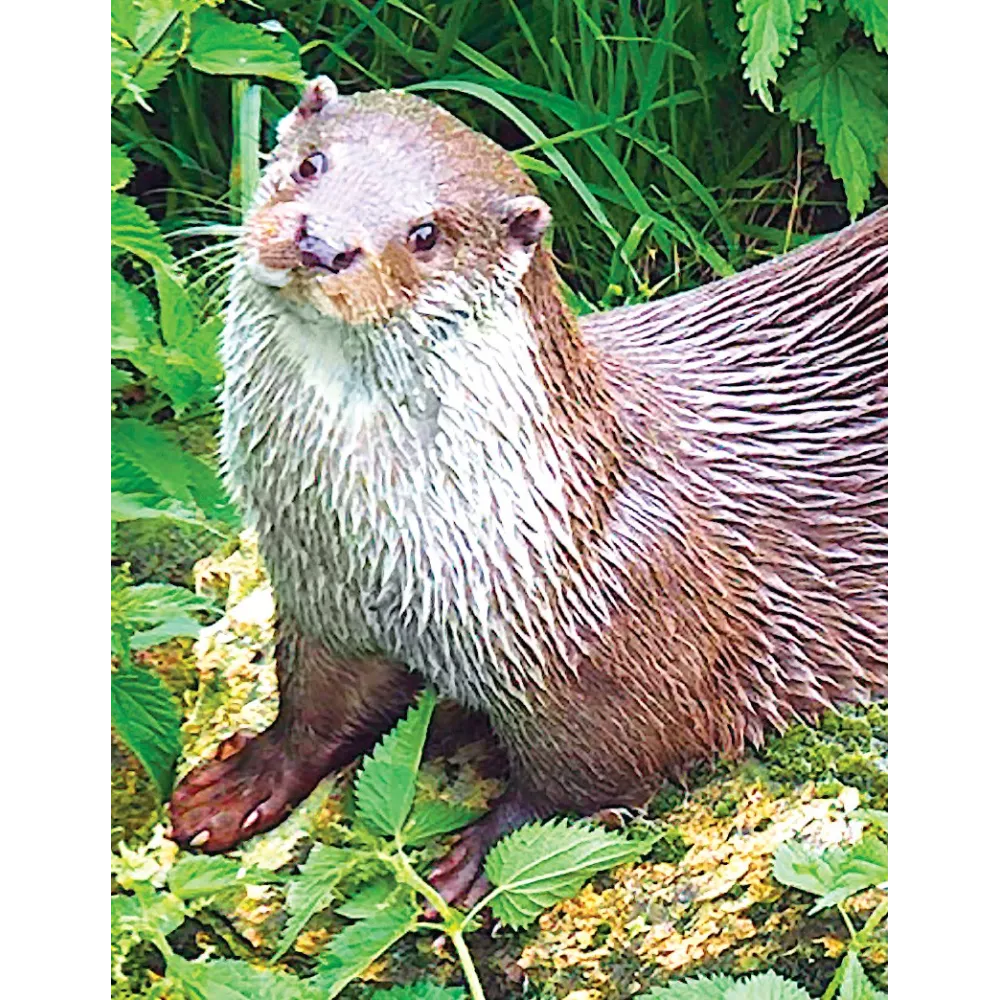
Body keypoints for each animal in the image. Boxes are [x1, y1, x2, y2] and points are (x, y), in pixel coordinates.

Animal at [170, 77, 887, 906]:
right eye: (312, 163)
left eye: (426, 234)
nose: (323, 242)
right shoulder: (323, 597)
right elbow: (316, 703)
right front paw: (240, 784)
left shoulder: (621, 656)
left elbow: (580, 779)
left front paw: (484, 861)